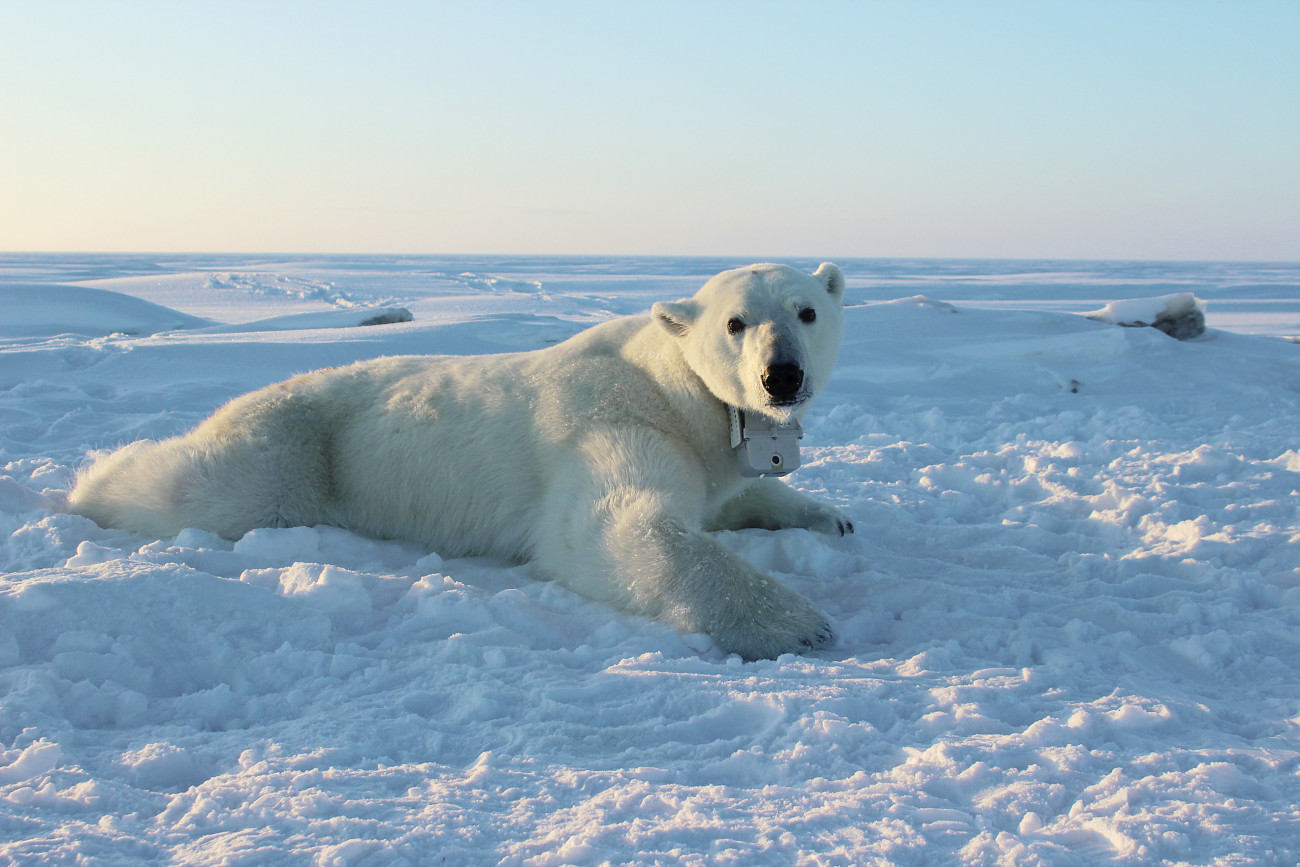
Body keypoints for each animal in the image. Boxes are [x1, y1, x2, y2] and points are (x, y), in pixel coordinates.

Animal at [68, 262, 852, 657]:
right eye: (735, 322)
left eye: (807, 310)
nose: (781, 376)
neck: (672, 387)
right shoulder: (614, 423)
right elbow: (613, 526)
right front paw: (798, 622)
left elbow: (736, 493)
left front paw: (830, 517)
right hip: (293, 452)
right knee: (199, 486)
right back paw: (88, 481)